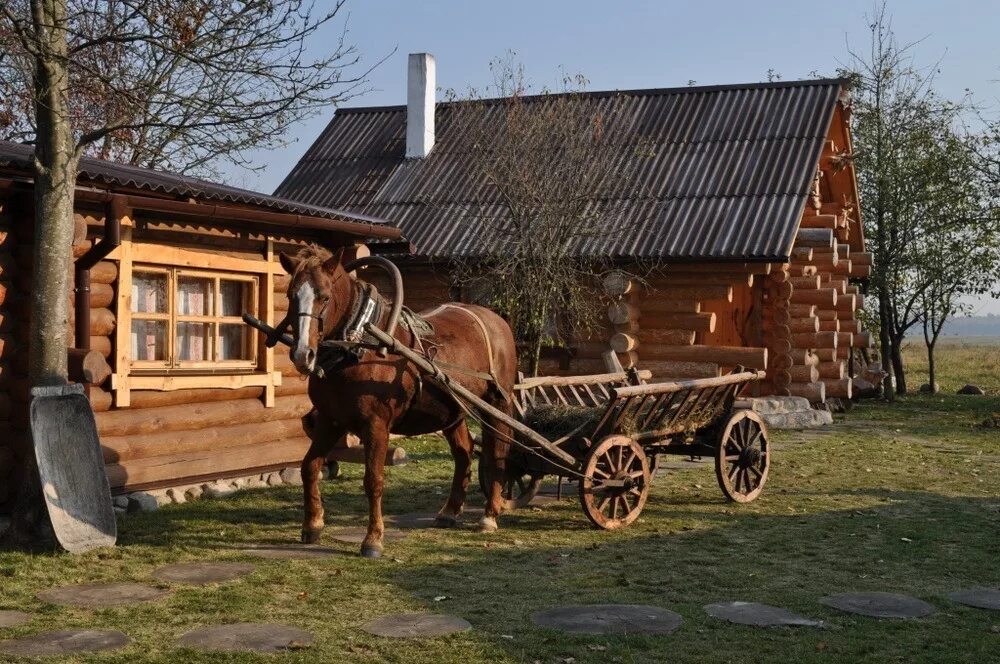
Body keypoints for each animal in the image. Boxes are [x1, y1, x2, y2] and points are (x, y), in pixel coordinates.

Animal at [280, 246, 520, 556]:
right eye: (291, 295)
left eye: (324, 295)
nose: (302, 354)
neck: (360, 343)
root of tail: (497, 321)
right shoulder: (329, 420)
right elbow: (309, 467)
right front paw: (313, 525)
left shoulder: (376, 425)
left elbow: (373, 480)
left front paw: (373, 539)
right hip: (452, 411)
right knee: (463, 453)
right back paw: (449, 511)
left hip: (496, 404)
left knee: (497, 451)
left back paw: (489, 515)